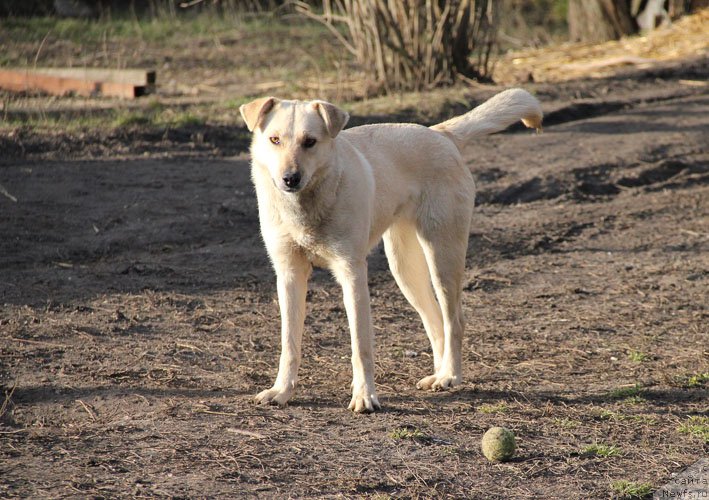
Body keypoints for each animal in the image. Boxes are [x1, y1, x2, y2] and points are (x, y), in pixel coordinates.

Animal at [239, 88, 544, 412]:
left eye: (310, 141)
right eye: (274, 139)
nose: (290, 178)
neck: (308, 203)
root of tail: (440, 133)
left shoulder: (352, 272)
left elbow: (360, 346)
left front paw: (364, 396)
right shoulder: (289, 274)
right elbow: (289, 343)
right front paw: (281, 391)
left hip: (443, 258)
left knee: (454, 320)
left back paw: (450, 376)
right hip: (405, 270)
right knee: (435, 322)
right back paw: (439, 374)